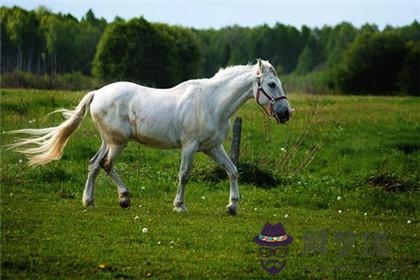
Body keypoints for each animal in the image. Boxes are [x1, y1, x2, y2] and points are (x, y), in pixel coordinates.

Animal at [9, 60, 292, 215]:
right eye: (271, 84)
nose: (286, 113)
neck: (212, 102)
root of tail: (97, 93)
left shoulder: (213, 147)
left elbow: (232, 171)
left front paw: (232, 206)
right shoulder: (189, 147)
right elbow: (184, 175)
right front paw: (179, 206)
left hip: (108, 141)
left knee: (93, 165)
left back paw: (89, 201)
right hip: (117, 143)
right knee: (106, 165)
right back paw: (124, 197)